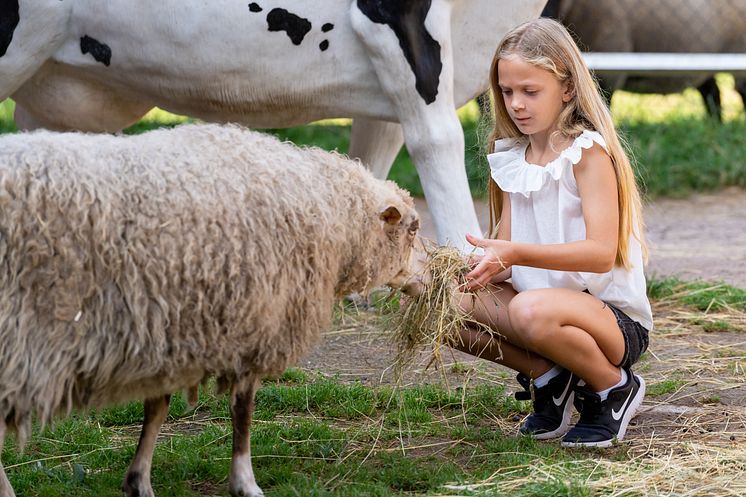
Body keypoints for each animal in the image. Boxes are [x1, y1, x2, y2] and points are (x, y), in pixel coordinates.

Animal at [0, 123, 422, 496]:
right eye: (414, 229)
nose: (431, 273)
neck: (328, 213)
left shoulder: (172, 330)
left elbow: (157, 408)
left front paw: (138, 481)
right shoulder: (254, 326)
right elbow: (242, 412)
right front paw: (245, 482)